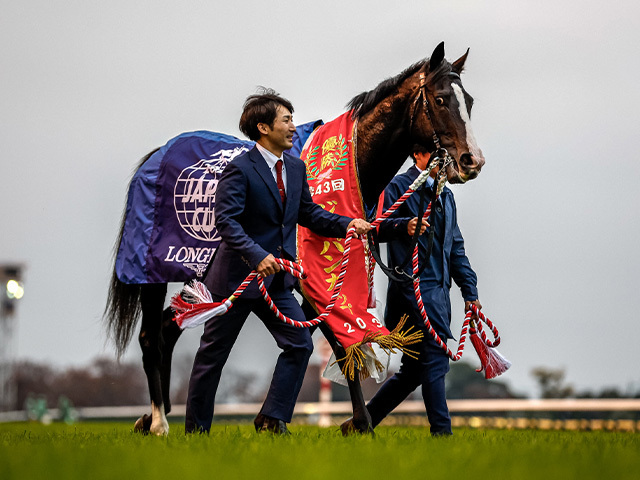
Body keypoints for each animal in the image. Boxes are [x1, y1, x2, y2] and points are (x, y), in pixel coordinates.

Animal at [105, 42, 484, 436]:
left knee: (170, 327)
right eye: (440, 99)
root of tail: (156, 155)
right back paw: (159, 422)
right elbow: (340, 341)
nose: (472, 161)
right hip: (151, 272)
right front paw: (358, 422)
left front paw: (273, 418)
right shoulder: (313, 275)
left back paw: (152, 416)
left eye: (469, 101)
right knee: (151, 336)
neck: (353, 162)